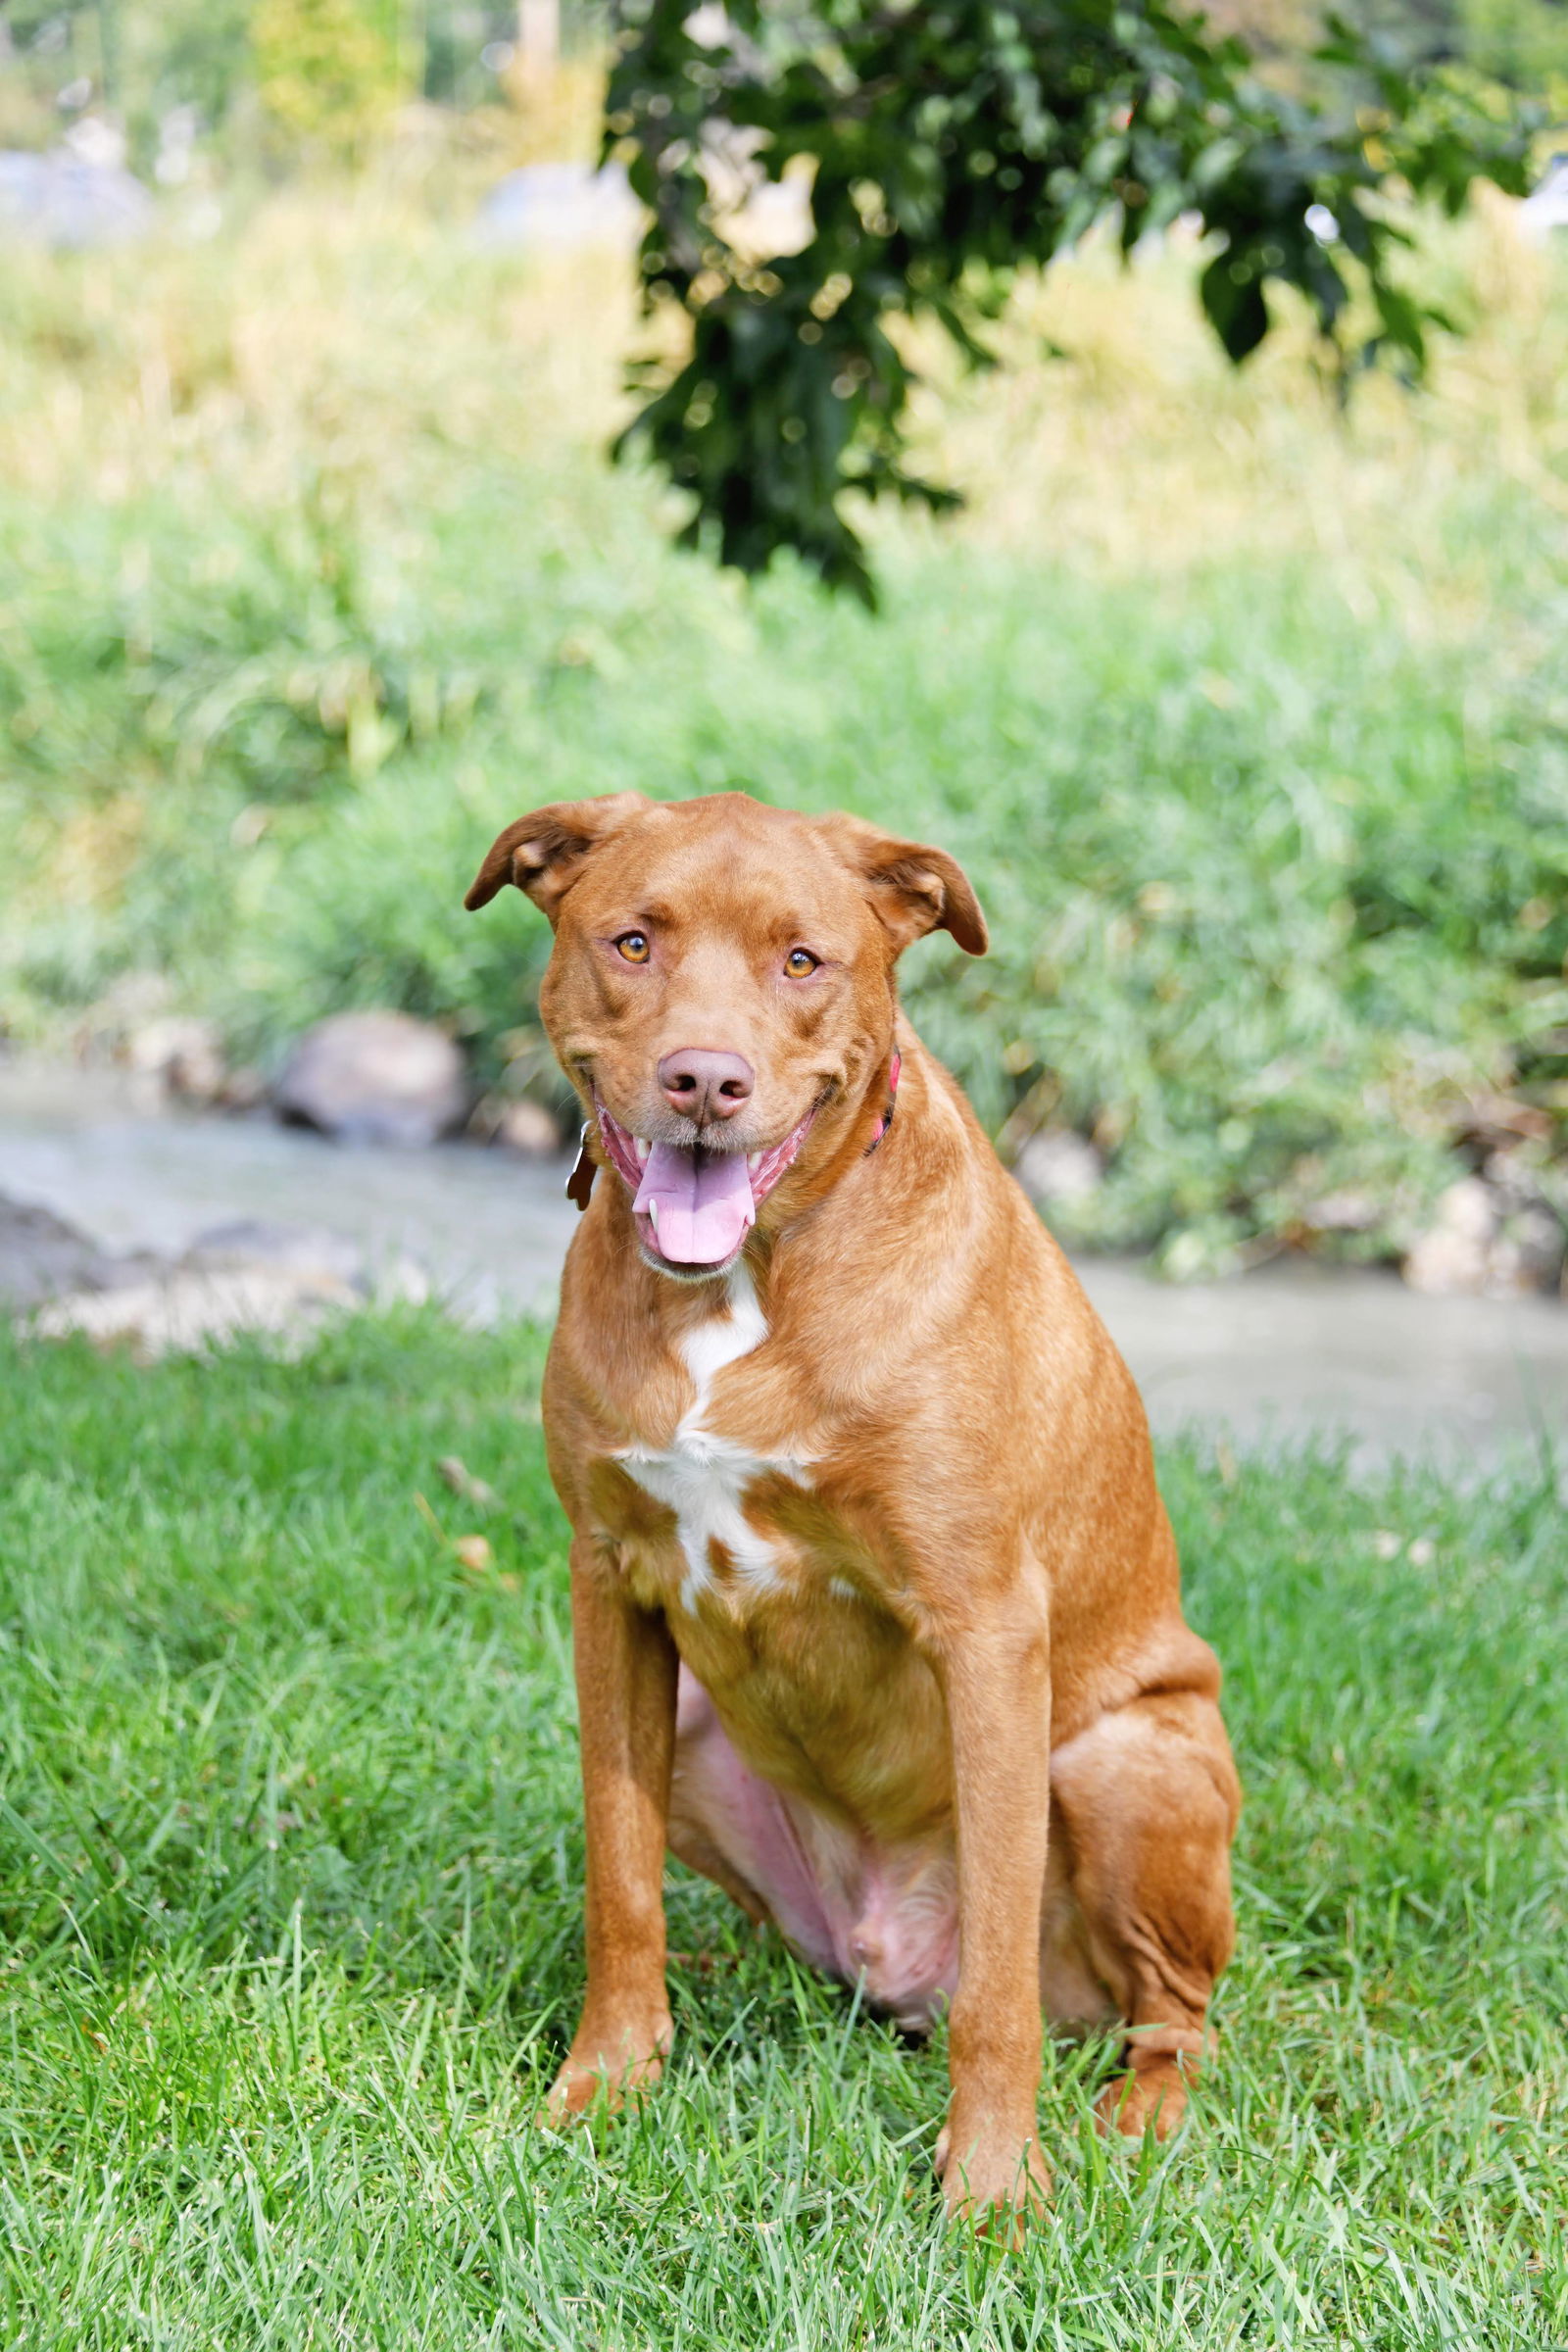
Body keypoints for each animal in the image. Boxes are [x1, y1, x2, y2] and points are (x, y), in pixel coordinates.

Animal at [465, 785, 1241, 2220]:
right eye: (635, 941)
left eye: (801, 960)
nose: (704, 1081)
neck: (746, 1283)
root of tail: (888, 1965)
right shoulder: (608, 1586)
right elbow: (620, 1882)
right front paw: (603, 2090)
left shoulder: (985, 1628)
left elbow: (998, 1980)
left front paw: (990, 2191)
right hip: (705, 1736)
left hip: (1124, 1761)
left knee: (1164, 2017)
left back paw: (1135, 2117)